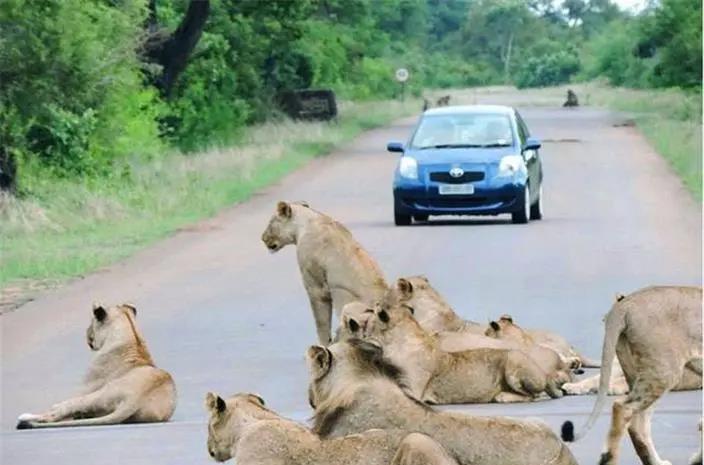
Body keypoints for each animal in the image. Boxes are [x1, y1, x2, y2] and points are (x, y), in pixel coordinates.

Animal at [16, 304, 176, 428]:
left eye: (91, 322)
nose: (86, 334)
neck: (133, 338)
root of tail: (136, 399)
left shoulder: (85, 388)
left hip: (96, 395)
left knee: (58, 411)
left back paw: (26, 417)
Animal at [262, 200, 388, 344]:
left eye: (271, 222)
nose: (262, 238)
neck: (307, 221)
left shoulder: (315, 287)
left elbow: (321, 323)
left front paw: (322, 344)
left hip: (349, 310)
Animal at [560, 284, 700, 464]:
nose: (604, 321)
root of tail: (626, 306)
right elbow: (597, 380)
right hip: (663, 373)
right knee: (627, 413)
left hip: (653, 375)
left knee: (635, 421)